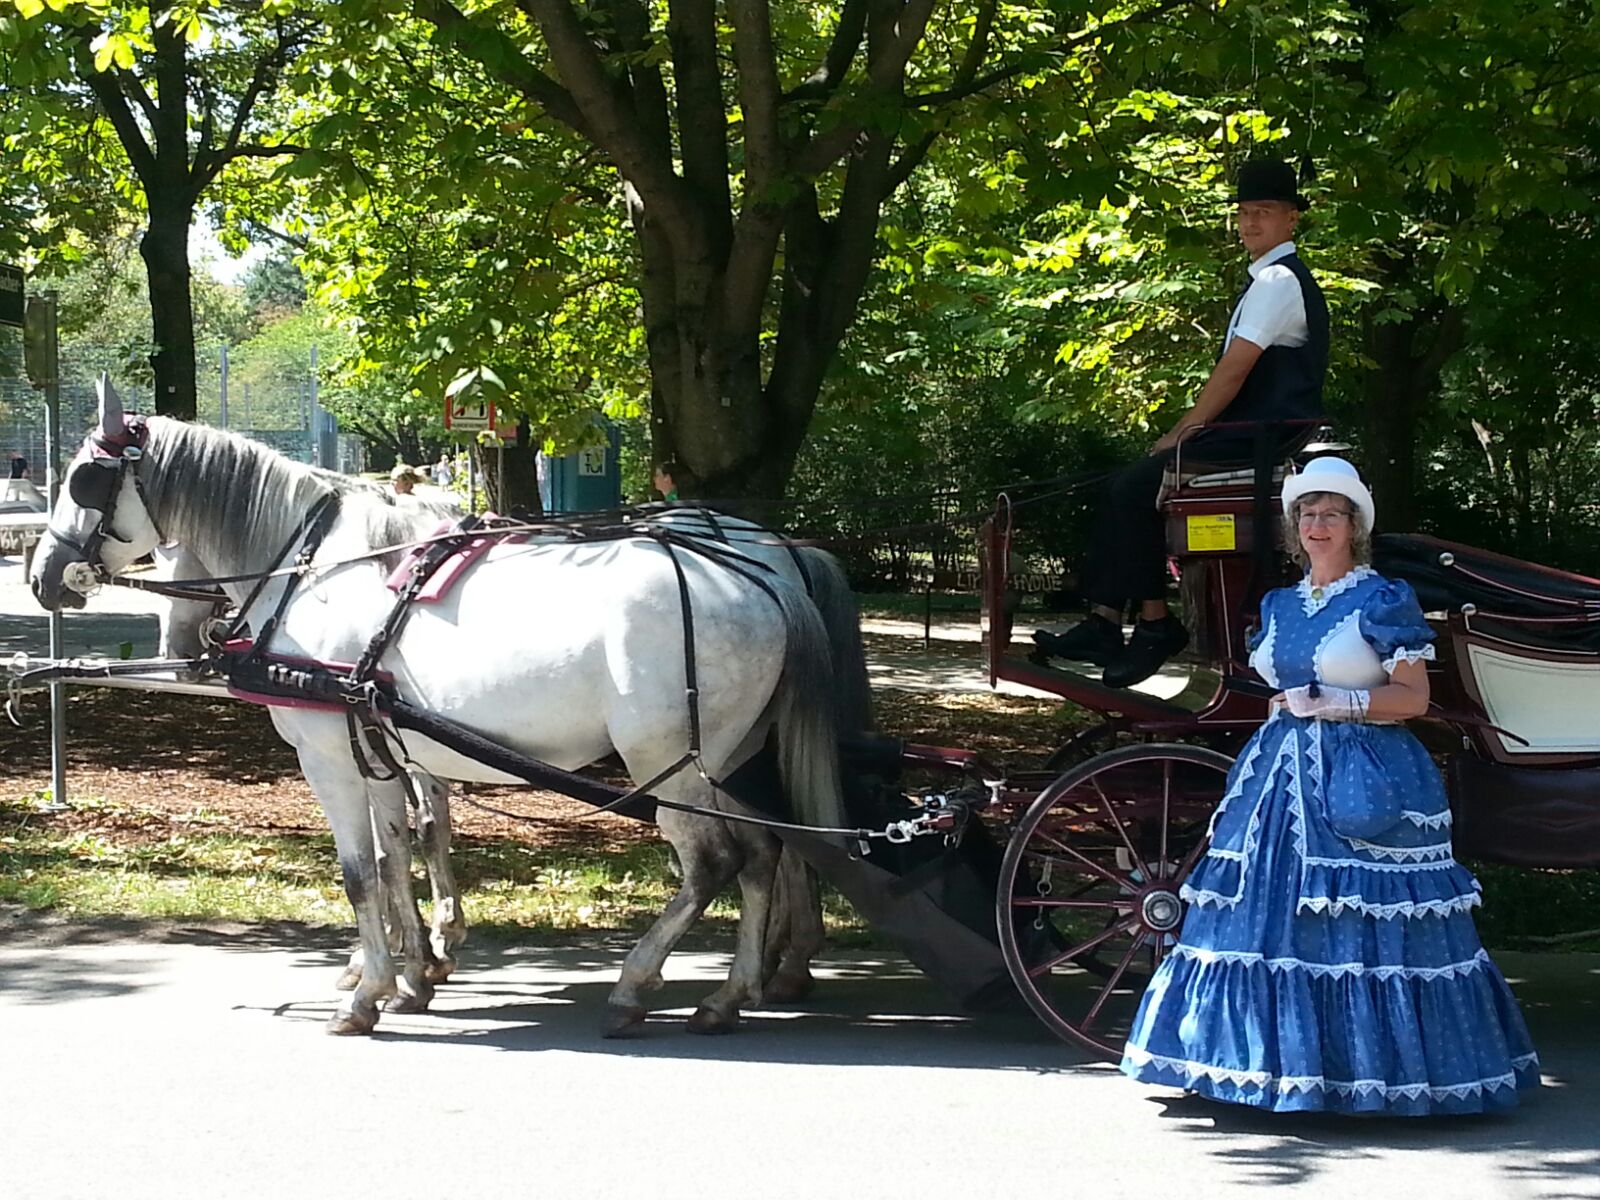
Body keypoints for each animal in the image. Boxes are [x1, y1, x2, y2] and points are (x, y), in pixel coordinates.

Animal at [31, 378, 847, 1036]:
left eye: (82, 479)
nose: (44, 575)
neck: (311, 570)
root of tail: (763, 578)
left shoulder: (328, 755)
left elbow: (361, 870)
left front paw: (367, 995)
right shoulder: (379, 750)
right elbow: (396, 854)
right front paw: (408, 974)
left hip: (670, 764)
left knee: (713, 862)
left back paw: (639, 985)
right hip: (731, 760)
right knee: (765, 853)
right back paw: (733, 992)